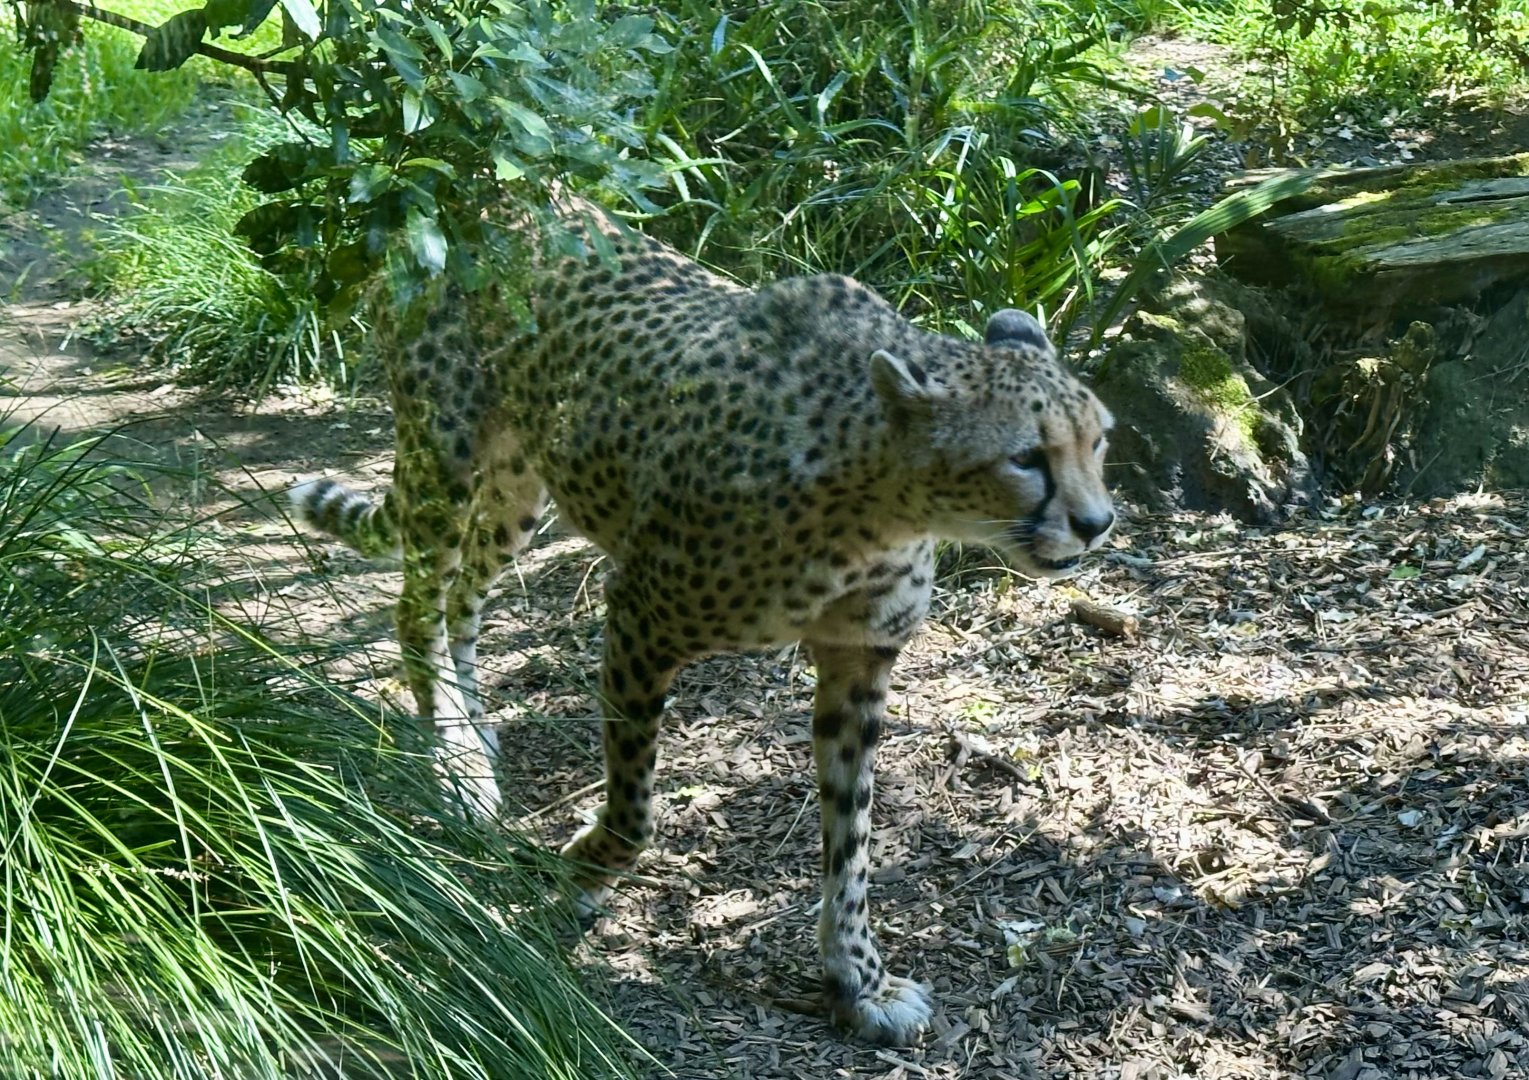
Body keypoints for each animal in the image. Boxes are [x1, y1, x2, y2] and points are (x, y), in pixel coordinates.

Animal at [289, 200, 1115, 1046]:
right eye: (1025, 457)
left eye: (1100, 439)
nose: (1097, 523)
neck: (878, 492)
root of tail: (478, 198)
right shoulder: (638, 618)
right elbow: (636, 810)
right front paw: (582, 868)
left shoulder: (857, 660)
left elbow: (850, 838)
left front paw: (858, 980)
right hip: (443, 457)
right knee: (416, 603)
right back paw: (452, 759)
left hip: (520, 482)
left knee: (464, 598)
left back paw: (474, 733)